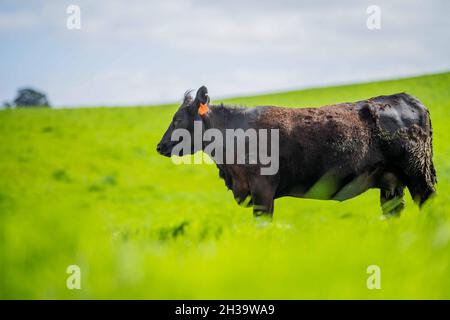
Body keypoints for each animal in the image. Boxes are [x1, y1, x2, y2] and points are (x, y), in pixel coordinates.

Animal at [158, 86, 436, 219]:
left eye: (178, 119)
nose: (160, 146)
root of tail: (408, 99)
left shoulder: (263, 191)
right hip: (391, 183)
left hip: (418, 173)